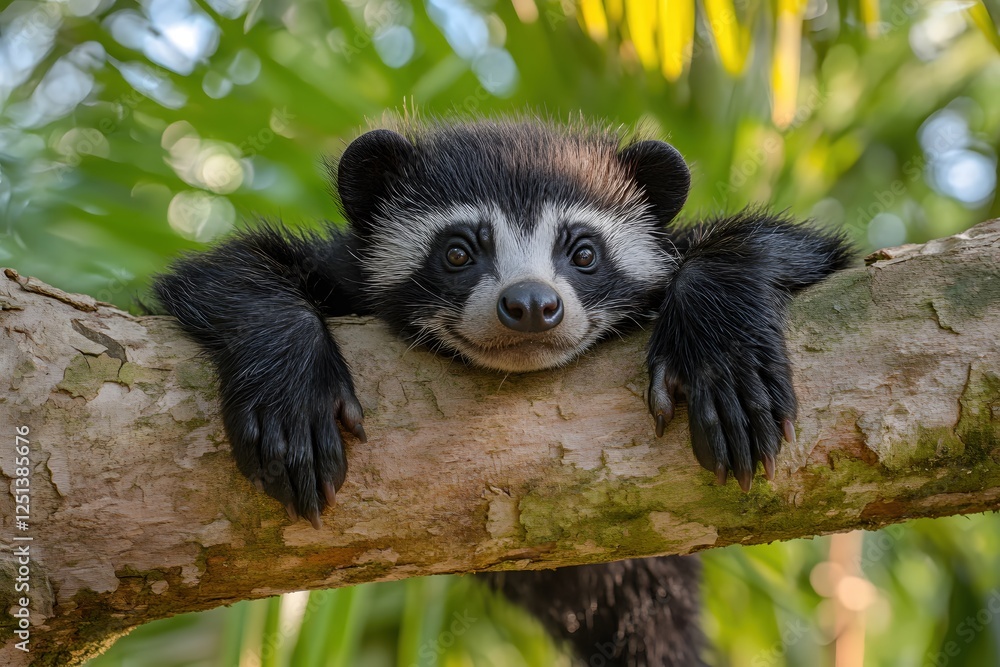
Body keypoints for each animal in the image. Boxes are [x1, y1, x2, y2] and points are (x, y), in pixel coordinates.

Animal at [153, 117, 852, 666]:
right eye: (459, 252)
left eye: (584, 252)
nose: (532, 304)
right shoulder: (340, 272)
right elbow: (222, 272)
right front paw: (291, 387)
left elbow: (804, 249)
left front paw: (722, 343)